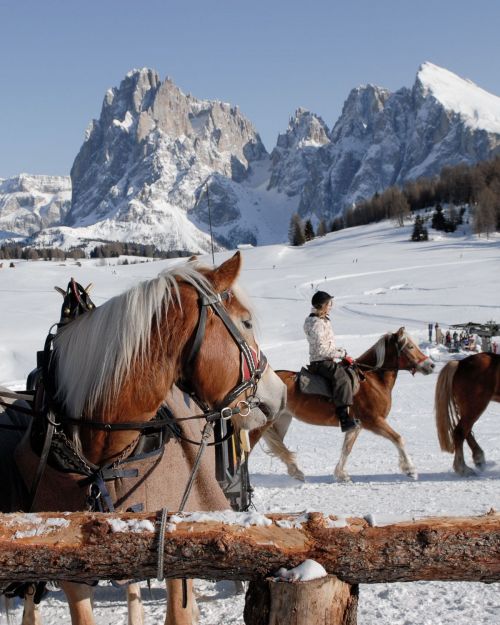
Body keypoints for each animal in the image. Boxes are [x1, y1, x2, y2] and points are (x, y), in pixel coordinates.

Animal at [250, 327, 435, 482]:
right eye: (410, 346)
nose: (431, 365)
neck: (371, 379)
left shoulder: (356, 426)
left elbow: (346, 449)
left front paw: (341, 475)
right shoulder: (374, 421)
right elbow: (398, 439)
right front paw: (410, 470)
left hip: (282, 420)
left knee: (277, 446)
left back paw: (296, 472)